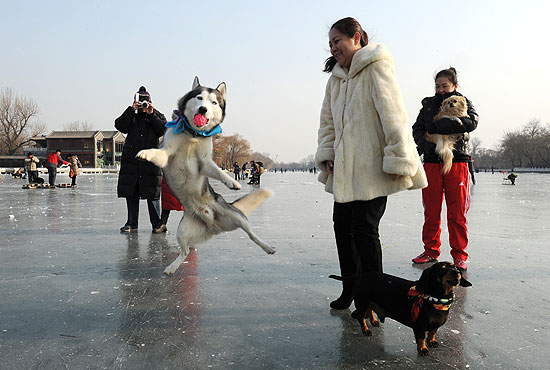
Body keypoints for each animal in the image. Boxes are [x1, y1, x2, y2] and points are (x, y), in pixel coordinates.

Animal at [137, 77, 276, 274]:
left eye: (214, 102)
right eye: (199, 98)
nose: (203, 109)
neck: (193, 135)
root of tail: (212, 226)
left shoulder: (204, 162)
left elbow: (218, 171)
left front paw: (232, 182)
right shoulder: (168, 152)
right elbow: (158, 153)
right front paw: (146, 153)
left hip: (236, 217)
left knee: (250, 234)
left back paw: (267, 247)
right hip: (183, 230)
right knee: (185, 251)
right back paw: (172, 267)